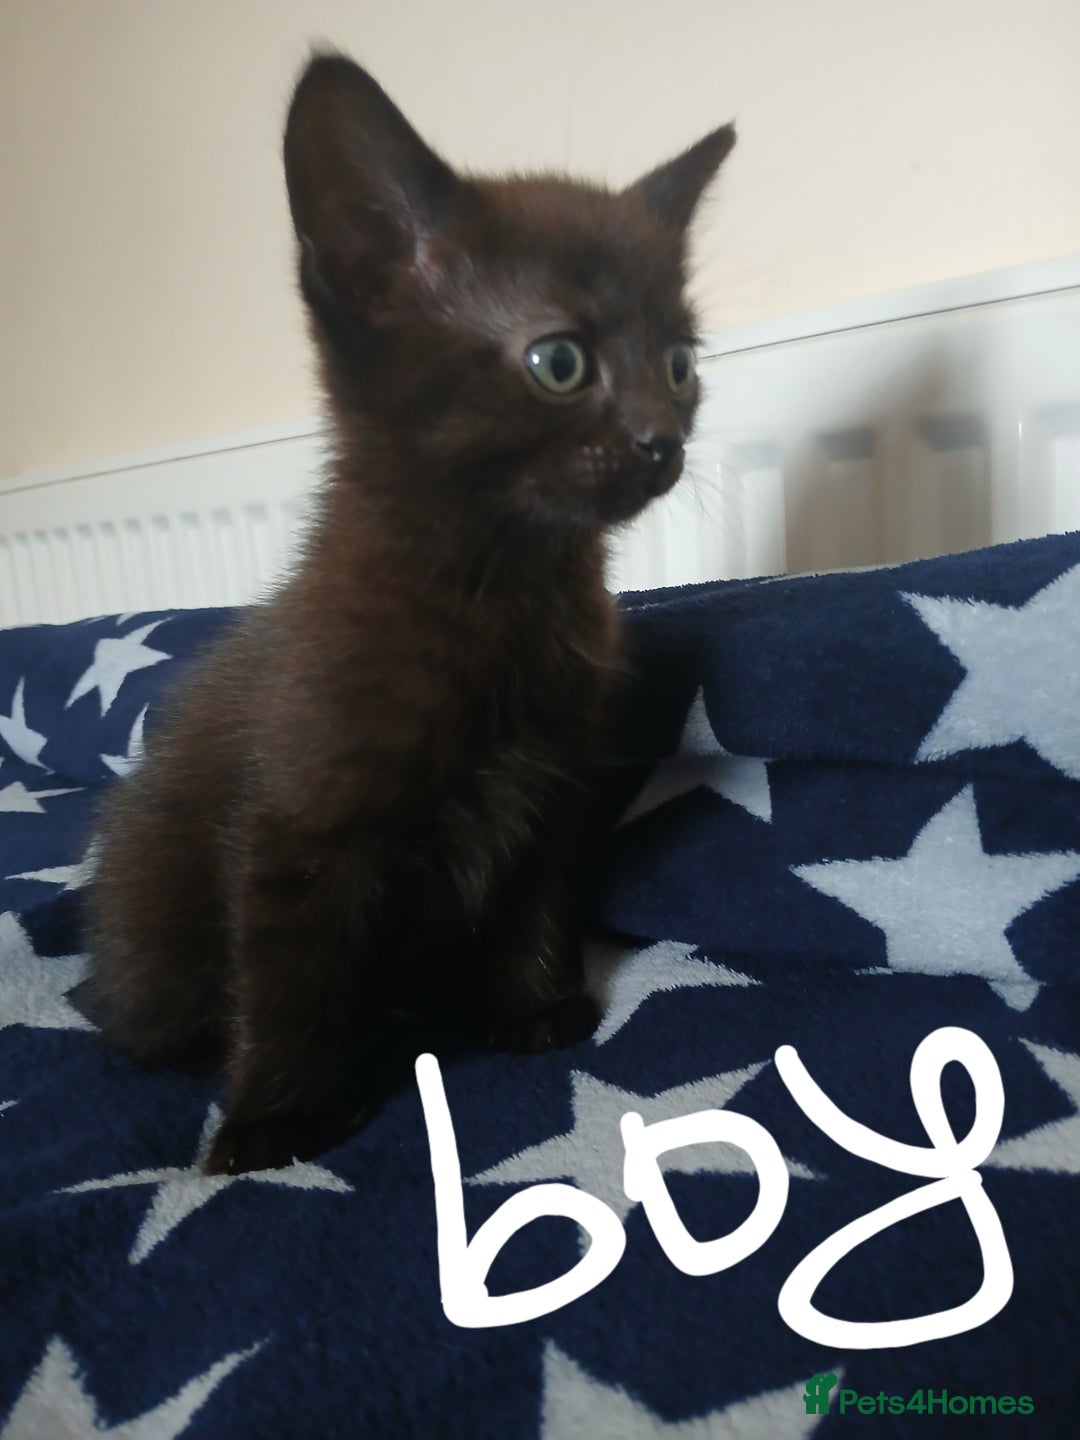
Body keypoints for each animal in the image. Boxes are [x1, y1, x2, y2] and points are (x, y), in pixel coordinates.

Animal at [80, 51, 735, 1175]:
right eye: (559, 361)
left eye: (681, 364)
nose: (662, 440)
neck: (502, 590)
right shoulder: (301, 817)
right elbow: (287, 969)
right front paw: (276, 1123)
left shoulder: (550, 781)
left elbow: (534, 896)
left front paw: (528, 1010)